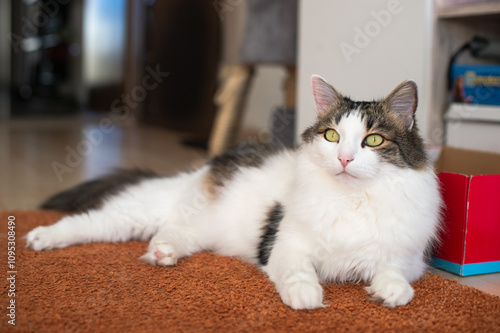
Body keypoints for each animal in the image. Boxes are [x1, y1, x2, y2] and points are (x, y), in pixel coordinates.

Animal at [26, 75, 442, 308]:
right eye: (331, 136)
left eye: (373, 140)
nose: (343, 159)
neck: (350, 198)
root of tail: (203, 168)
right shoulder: (285, 245)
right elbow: (299, 275)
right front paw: (306, 299)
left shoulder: (406, 259)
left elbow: (395, 278)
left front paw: (390, 295)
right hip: (134, 215)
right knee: (85, 223)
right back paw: (40, 238)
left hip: (197, 230)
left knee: (171, 234)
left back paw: (162, 254)